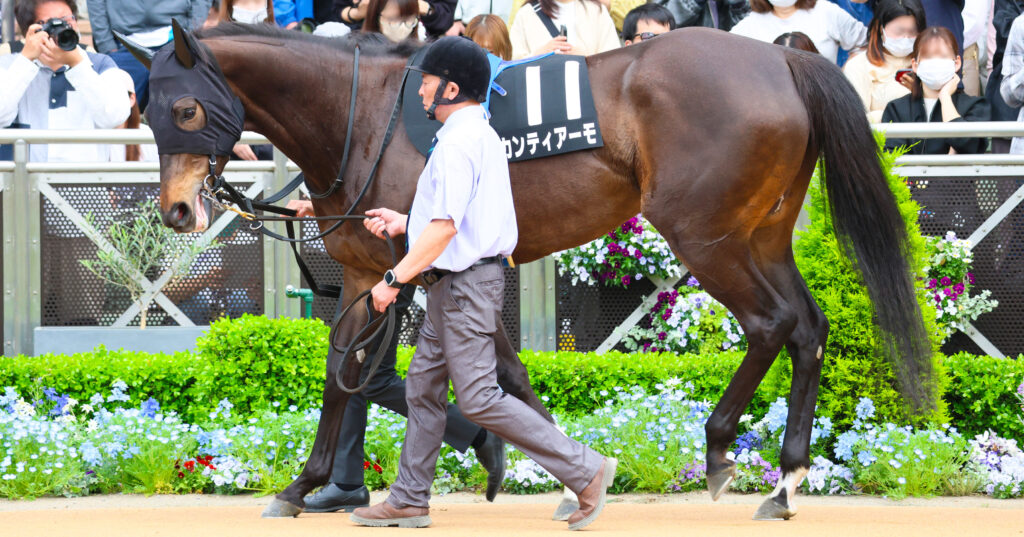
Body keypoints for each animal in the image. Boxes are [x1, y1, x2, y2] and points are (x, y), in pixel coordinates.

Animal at [121, 22, 934, 521]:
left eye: (186, 110)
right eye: (146, 110)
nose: (178, 212)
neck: (366, 115)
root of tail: (783, 59)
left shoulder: (420, 262)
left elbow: (422, 368)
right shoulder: (369, 268)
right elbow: (360, 368)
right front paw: (309, 483)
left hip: (707, 234)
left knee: (773, 322)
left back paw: (718, 448)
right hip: (761, 232)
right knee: (810, 326)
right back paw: (788, 477)